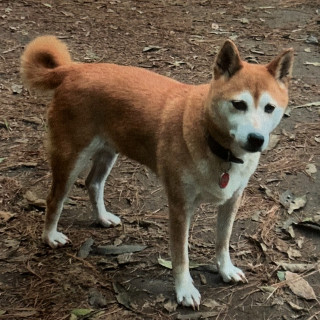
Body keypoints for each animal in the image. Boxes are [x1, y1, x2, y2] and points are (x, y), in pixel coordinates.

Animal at [20, 36, 294, 308]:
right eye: (239, 104)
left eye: (269, 108)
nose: (257, 139)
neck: (216, 145)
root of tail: (75, 69)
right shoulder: (180, 207)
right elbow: (181, 256)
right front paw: (185, 290)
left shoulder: (232, 199)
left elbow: (223, 241)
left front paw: (225, 270)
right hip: (70, 159)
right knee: (54, 199)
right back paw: (50, 236)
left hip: (108, 152)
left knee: (93, 184)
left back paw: (102, 217)